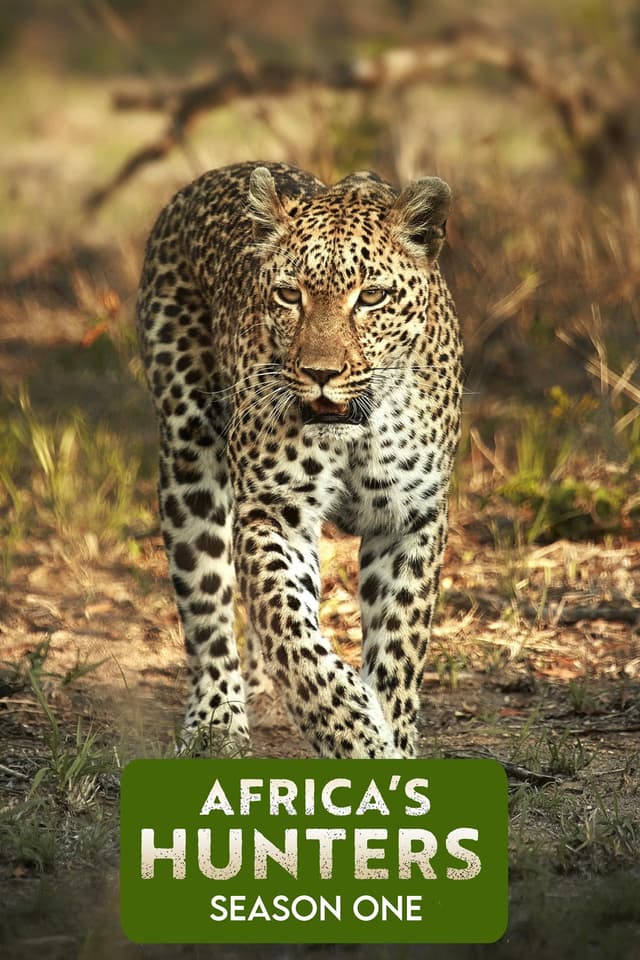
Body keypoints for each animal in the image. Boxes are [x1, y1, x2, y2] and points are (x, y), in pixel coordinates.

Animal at [136, 160, 462, 759]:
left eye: (371, 297)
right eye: (290, 295)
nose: (320, 373)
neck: (359, 428)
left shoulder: (411, 519)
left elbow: (401, 642)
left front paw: (394, 739)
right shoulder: (275, 513)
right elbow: (293, 633)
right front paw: (354, 736)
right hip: (188, 456)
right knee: (207, 603)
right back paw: (217, 720)